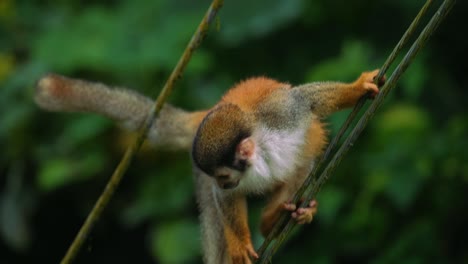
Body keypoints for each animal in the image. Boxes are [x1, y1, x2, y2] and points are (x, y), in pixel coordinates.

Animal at [34, 69, 382, 262]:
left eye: (225, 173)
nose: (224, 181)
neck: (260, 152)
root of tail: (208, 110)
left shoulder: (282, 114)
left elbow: (306, 100)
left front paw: (356, 89)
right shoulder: (215, 178)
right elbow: (224, 201)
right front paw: (239, 242)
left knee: (302, 167)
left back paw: (283, 215)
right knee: (213, 212)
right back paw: (267, 223)